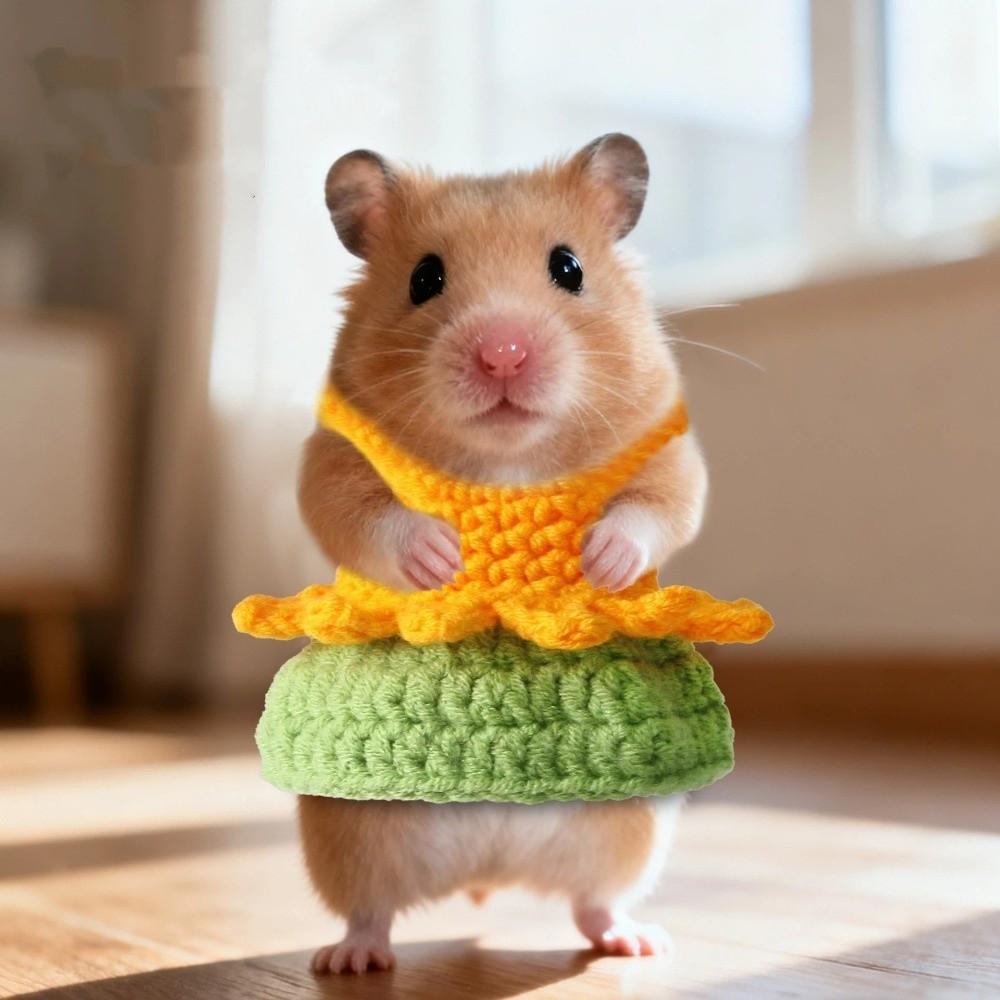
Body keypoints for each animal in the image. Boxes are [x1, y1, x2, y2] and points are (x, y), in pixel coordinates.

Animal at [298, 134, 708, 975]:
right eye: (425, 278)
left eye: (569, 267)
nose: (503, 354)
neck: (507, 463)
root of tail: (486, 871)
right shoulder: (330, 462)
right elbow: (363, 515)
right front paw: (442, 558)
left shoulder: (668, 452)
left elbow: (658, 507)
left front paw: (600, 559)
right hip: (347, 832)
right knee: (369, 910)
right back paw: (349, 960)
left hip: (630, 831)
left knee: (593, 902)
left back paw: (637, 944)